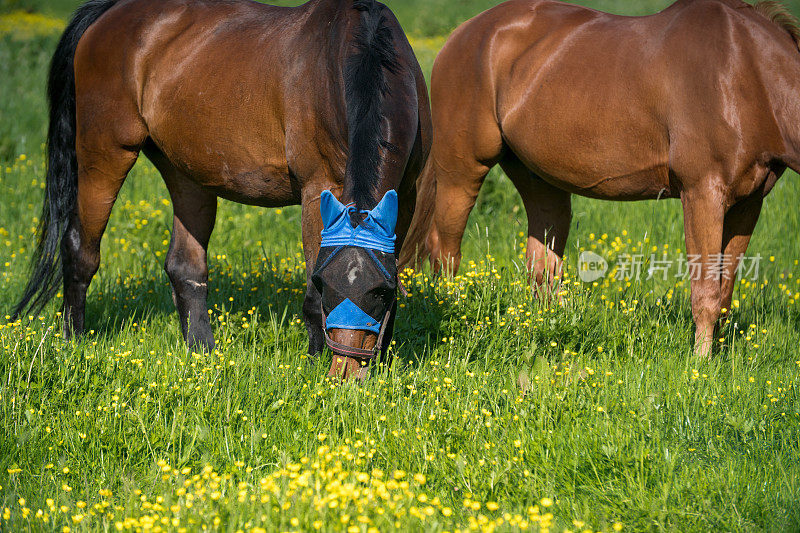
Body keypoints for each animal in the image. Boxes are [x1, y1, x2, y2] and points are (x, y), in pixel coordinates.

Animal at [12, 1, 432, 382]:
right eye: (325, 285)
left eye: (379, 291)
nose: (345, 374)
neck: (359, 55)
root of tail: (109, 12)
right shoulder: (318, 189)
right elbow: (312, 297)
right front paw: (314, 365)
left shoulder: (406, 196)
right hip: (105, 153)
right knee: (80, 249)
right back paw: (73, 340)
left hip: (186, 173)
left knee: (184, 266)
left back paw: (202, 352)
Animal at [404, 0, 800, 358]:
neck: (744, 73)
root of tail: (464, 33)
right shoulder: (702, 193)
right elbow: (706, 292)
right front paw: (700, 367)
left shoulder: (748, 203)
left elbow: (725, 291)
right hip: (463, 170)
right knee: (445, 252)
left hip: (539, 180)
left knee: (541, 268)